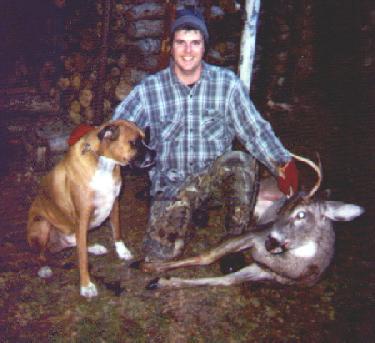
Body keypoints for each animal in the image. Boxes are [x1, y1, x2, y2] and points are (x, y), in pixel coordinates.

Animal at [27, 120, 155, 298]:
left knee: (75, 242)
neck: (104, 162)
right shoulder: (83, 216)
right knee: (40, 255)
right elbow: (83, 258)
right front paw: (86, 286)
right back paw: (44, 268)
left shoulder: (114, 202)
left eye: (145, 139)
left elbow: (117, 231)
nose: (154, 153)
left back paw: (93, 247)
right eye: (134, 143)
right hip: (42, 223)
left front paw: (122, 251)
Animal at [134, 155, 366, 290]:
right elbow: (207, 256)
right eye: (282, 209)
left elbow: (225, 281)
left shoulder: (263, 271)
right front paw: (151, 268)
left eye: (301, 214)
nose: (271, 241)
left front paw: (162, 282)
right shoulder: (255, 233)